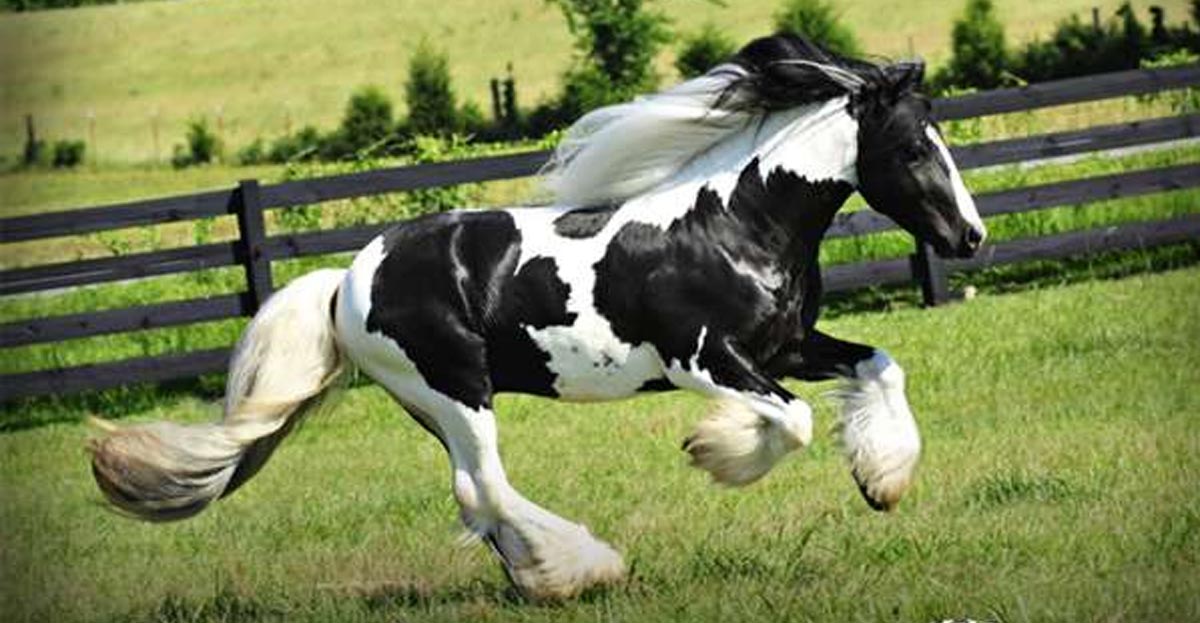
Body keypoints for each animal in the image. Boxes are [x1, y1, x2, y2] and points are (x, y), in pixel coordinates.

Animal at [87, 32, 984, 600]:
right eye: (914, 148)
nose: (969, 237)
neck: (733, 223)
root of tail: (347, 278)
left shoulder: (788, 345)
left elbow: (881, 365)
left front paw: (882, 480)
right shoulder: (704, 357)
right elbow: (789, 420)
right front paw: (715, 450)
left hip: (431, 402)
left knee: (473, 494)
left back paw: (537, 577)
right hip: (456, 386)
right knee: (485, 483)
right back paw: (584, 570)